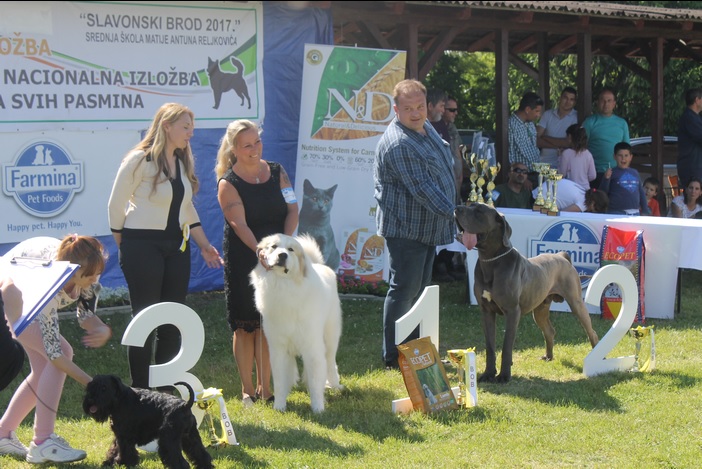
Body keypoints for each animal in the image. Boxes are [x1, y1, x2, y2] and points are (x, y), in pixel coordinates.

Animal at [84, 372, 213, 468]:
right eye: (90, 386)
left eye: (104, 388)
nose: (90, 399)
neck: (120, 399)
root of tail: (185, 405)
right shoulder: (119, 434)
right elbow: (114, 448)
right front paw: (109, 462)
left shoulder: (125, 436)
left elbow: (124, 451)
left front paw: (123, 463)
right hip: (190, 437)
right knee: (201, 455)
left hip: (169, 441)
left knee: (180, 462)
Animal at [250, 232, 344, 412]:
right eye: (273, 247)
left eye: (290, 250)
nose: (282, 255)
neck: (284, 286)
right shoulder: (278, 348)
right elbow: (280, 381)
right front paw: (279, 407)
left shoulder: (312, 347)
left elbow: (315, 381)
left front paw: (318, 408)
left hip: (330, 337)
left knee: (330, 362)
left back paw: (335, 385)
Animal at [456, 203, 600, 382]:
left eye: (479, 211)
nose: (457, 208)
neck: (491, 260)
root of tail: (562, 256)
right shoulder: (486, 311)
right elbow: (490, 346)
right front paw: (488, 373)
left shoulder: (512, 311)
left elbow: (507, 345)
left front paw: (504, 376)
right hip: (540, 309)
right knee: (550, 331)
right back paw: (548, 356)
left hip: (576, 303)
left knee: (591, 332)